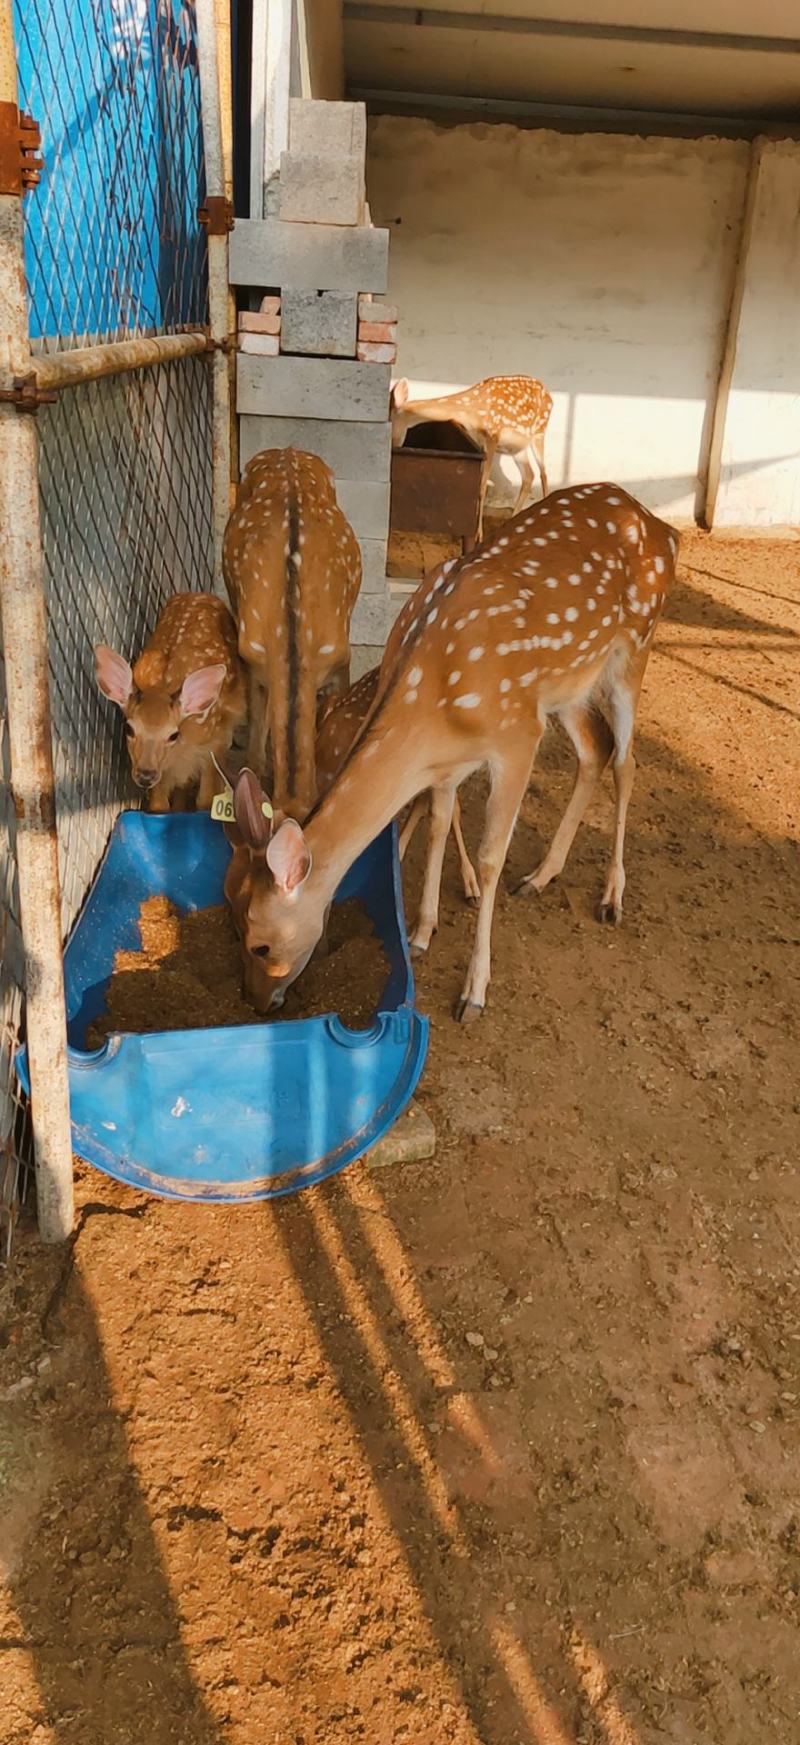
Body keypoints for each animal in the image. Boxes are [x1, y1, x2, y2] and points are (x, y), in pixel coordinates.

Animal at [95, 593, 246, 811]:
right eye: (129, 729)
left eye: (173, 734)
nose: (145, 775)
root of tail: (199, 594)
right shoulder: (164, 770)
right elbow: (159, 805)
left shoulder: (213, 743)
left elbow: (206, 800)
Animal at [390, 374, 553, 542]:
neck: (470, 411)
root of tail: (549, 395)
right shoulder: (478, 442)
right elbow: (479, 486)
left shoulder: (493, 436)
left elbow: (482, 487)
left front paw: (478, 535)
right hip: (517, 449)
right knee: (529, 475)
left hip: (539, 431)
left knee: (543, 474)